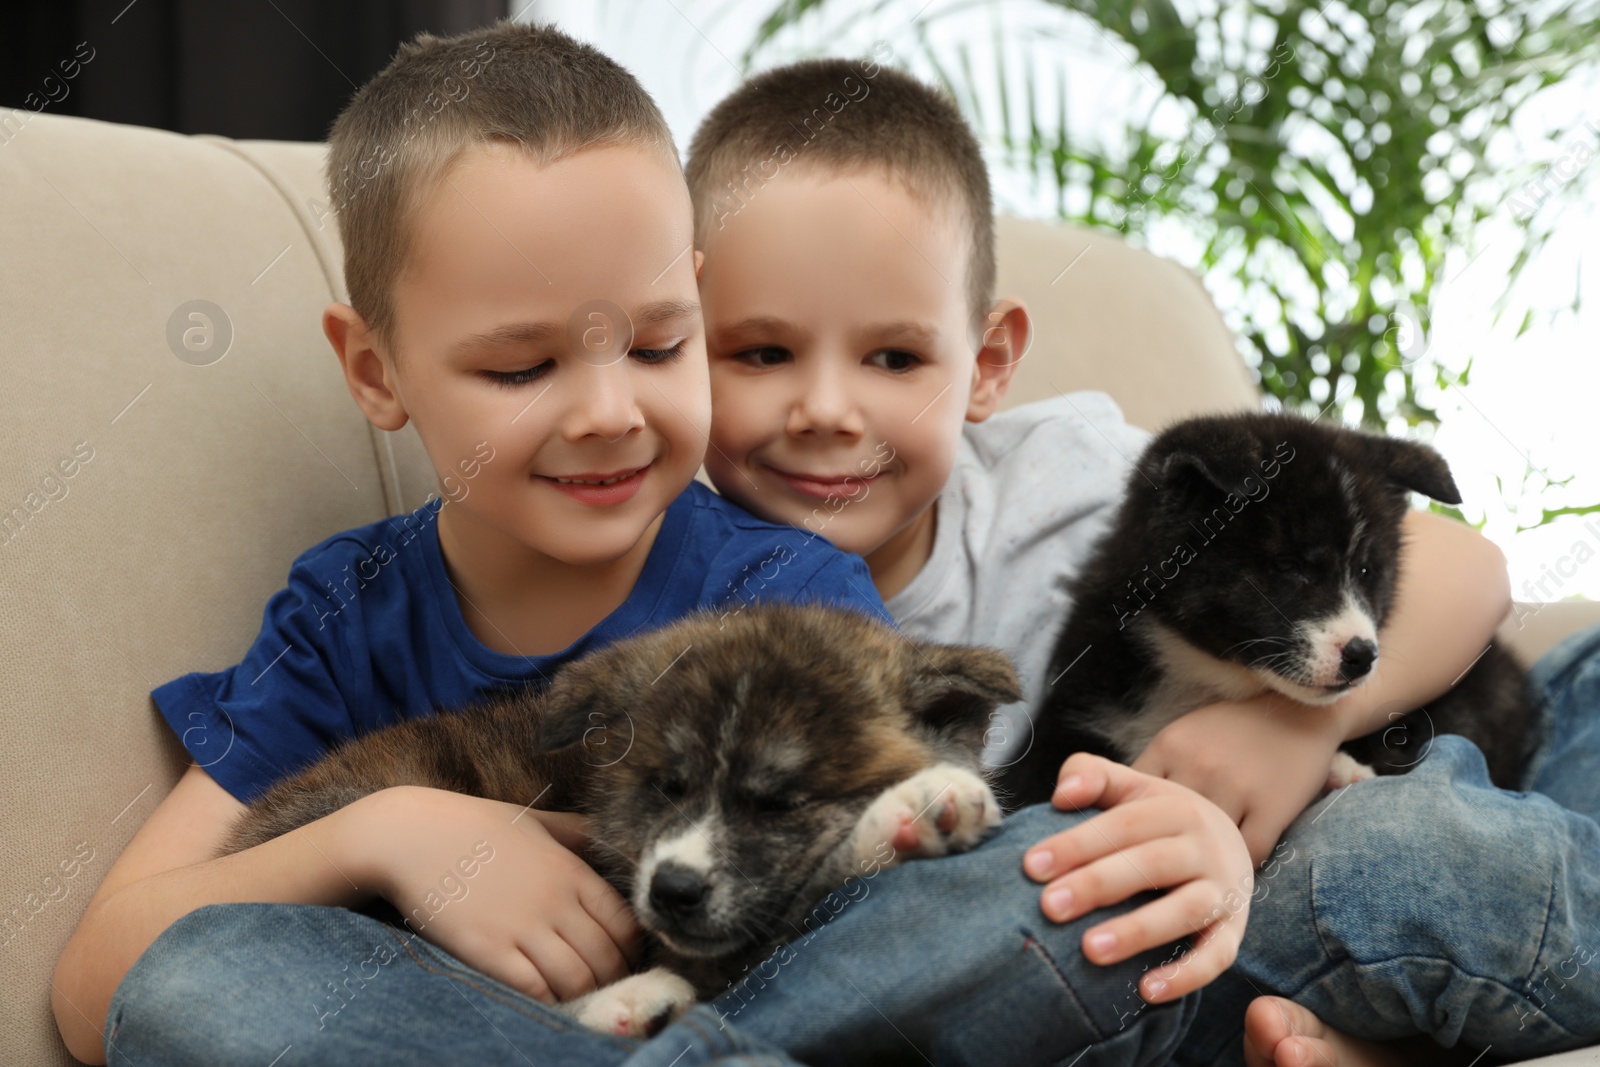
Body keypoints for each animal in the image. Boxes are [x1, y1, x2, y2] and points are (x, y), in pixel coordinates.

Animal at [992, 412, 1529, 809]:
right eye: (1288, 566)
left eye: (1366, 571)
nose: (1362, 656)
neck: (1200, 676)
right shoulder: (1075, 712)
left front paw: (1344, 767)